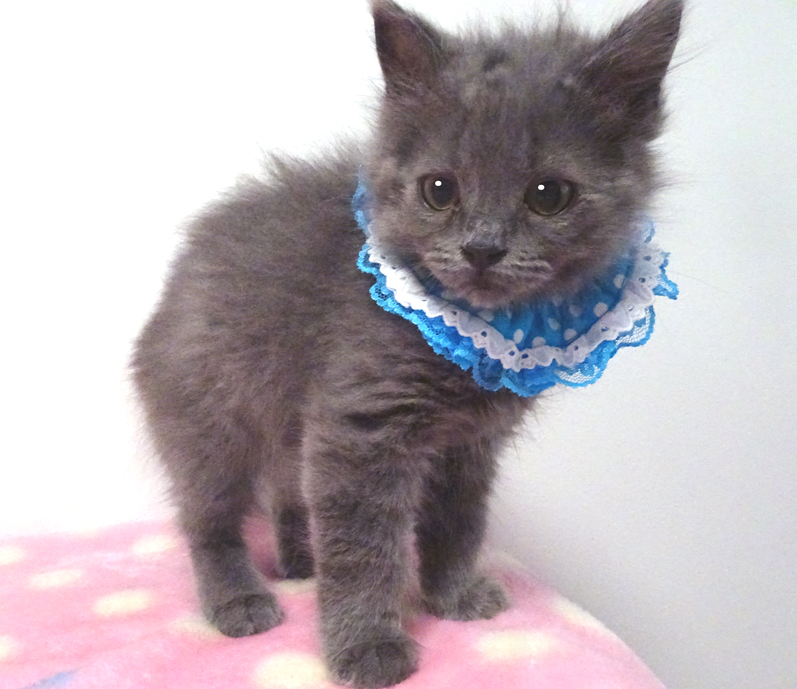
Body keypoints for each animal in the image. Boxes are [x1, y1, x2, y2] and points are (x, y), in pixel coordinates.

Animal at [131, 0, 683, 687]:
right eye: (439, 190)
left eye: (548, 194)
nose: (482, 248)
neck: (474, 335)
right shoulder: (361, 424)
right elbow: (364, 546)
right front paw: (368, 646)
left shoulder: (469, 444)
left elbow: (458, 523)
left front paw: (453, 596)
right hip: (210, 419)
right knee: (209, 521)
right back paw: (239, 598)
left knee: (288, 490)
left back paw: (299, 561)